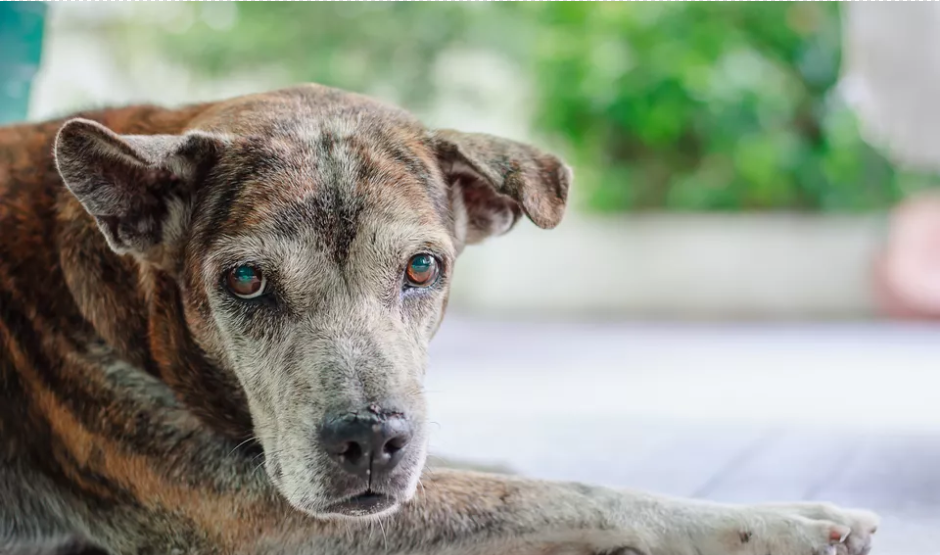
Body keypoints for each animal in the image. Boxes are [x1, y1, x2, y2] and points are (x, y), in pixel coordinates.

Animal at [1, 83, 880, 555]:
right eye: (245, 281)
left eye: (423, 268)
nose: (370, 441)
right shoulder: (260, 516)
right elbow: (558, 492)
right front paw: (785, 522)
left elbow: (507, 473)